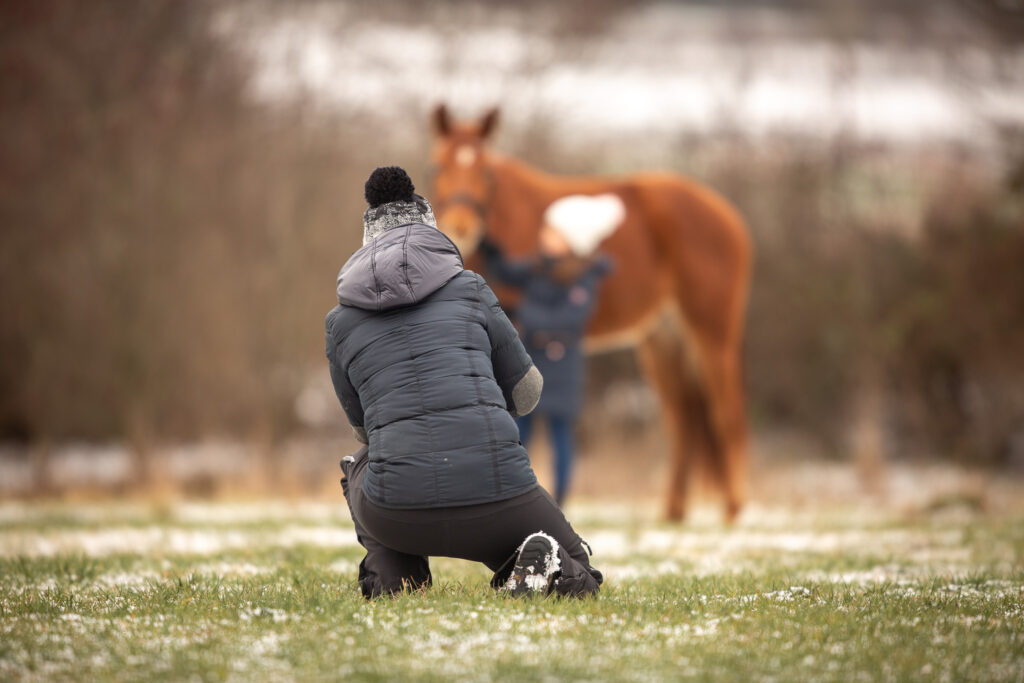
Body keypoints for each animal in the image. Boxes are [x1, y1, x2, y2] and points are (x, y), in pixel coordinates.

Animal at [423, 105, 753, 524]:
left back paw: (734, 512)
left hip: (712, 332)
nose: (462, 226)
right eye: (439, 165)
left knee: (727, 413)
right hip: (662, 338)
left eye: (486, 171)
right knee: (684, 419)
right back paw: (672, 513)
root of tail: (726, 215)